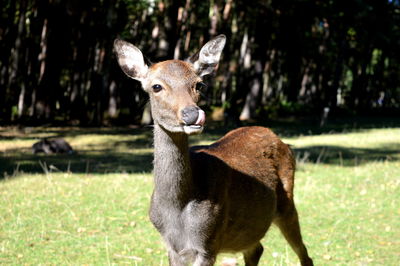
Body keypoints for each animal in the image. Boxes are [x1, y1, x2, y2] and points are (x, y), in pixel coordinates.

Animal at [114, 35, 314, 266]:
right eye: (156, 86)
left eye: (199, 84)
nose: (192, 114)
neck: (177, 208)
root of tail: (281, 140)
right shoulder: (172, 247)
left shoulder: (208, 240)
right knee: (256, 249)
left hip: (288, 202)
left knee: (305, 253)